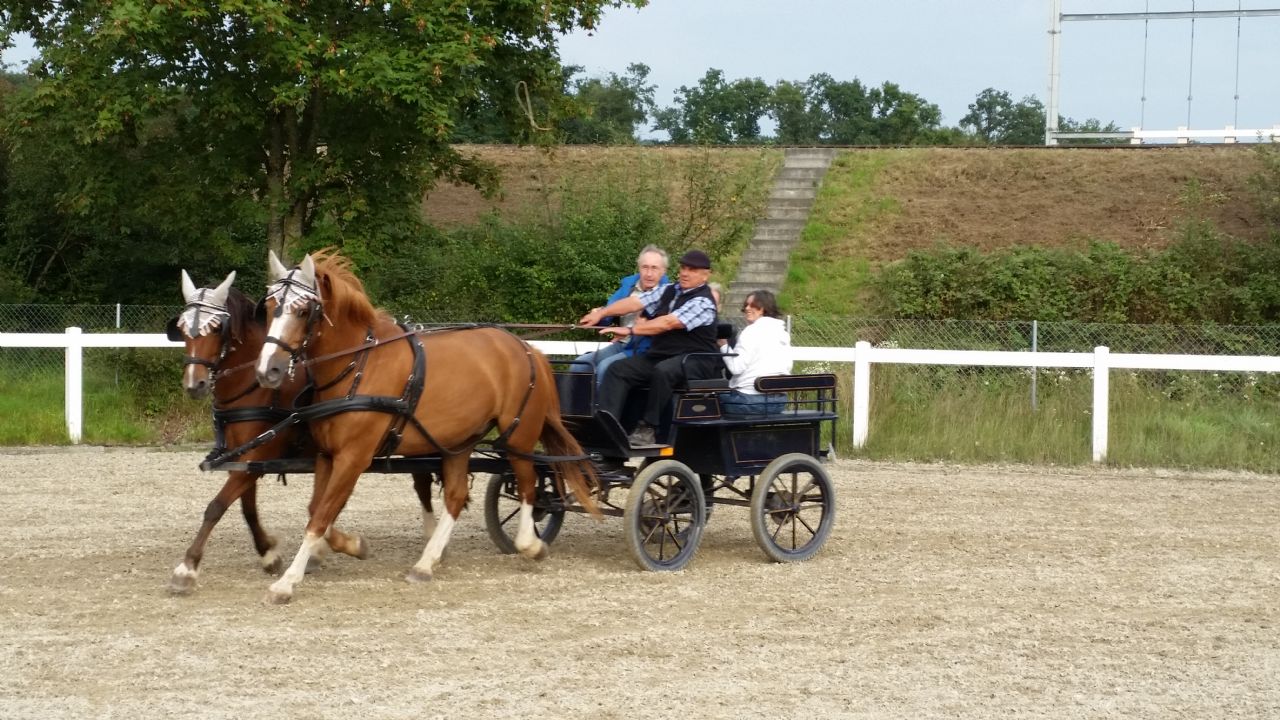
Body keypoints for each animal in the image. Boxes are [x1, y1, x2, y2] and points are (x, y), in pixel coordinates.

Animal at [165, 270, 445, 594]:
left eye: (215, 328)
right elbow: (249, 509)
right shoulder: (246, 461)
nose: (194, 384)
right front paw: (269, 553)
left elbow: (217, 506)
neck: (257, 388)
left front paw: (187, 568)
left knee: (422, 482)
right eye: (182, 329)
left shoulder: (257, 458)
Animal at [257, 249, 601, 602]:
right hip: (460, 441)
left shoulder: (353, 458)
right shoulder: (327, 455)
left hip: (518, 435)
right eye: (268, 307)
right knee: (456, 495)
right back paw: (426, 562)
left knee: (529, 484)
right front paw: (350, 546)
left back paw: (529, 544)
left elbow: (321, 516)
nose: (268, 370)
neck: (358, 366)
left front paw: (287, 581)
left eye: (302, 310)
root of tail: (527, 348)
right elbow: (317, 510)